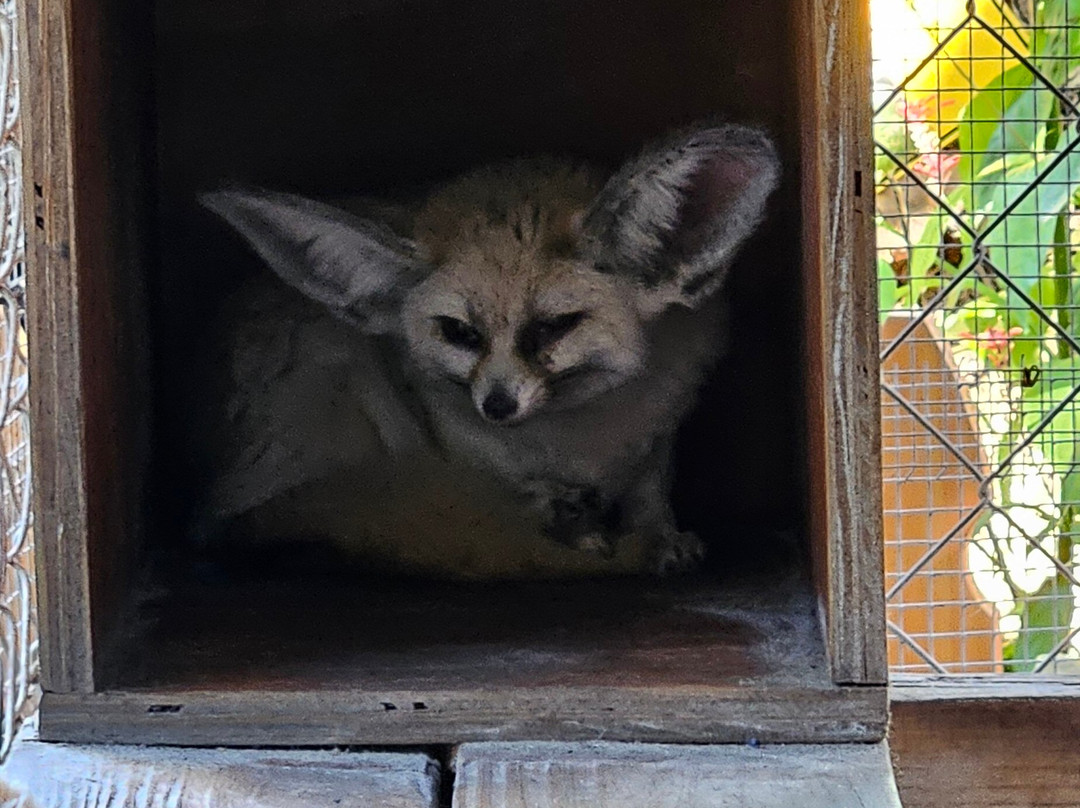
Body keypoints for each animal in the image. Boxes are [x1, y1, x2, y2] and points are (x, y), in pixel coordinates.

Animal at [198, 125, 779, 579]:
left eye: (553, 327)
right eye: (460, 332)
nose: (497, 405)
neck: (585, 440)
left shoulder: (660, 432)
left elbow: (650, 493)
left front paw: (661, 536)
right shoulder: (459, 450)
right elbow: (511, 503)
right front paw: (572, 527)